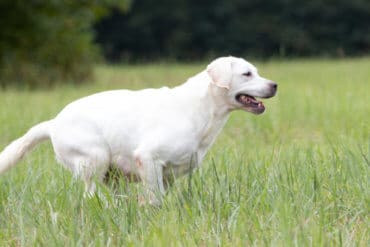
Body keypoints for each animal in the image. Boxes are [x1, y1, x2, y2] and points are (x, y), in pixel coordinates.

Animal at [0, 56, 276, 205]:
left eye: (258, 72)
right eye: (247, 73)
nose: (274, 85)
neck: (202, 109)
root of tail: (53, 122)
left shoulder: (169, 174)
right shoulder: (148, 157)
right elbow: (154, 198)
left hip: (113, 175)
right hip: (95, 160)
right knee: (90, 196)